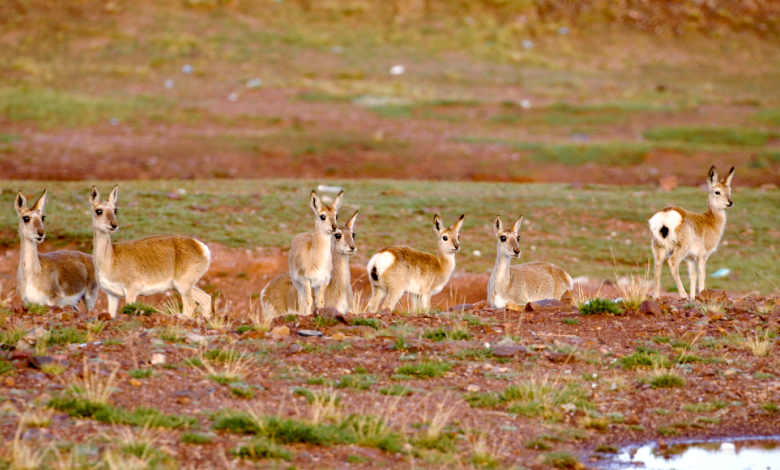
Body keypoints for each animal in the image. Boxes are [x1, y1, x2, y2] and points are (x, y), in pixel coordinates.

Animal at [90, 187, 212, 320]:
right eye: (98, 210)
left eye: (115, 210)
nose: (114, 225)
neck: (110, 258)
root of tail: (200, 246)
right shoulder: (112, 296)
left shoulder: (131, 291)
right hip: (182, 286)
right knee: (206, 298)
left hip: (183, 287)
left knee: (190, 305)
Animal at [648, 163, 736, 300]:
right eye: (717, 192)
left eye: (730, 190)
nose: (730, 202)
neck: (710, 220)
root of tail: (666, 214)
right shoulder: (703, 255)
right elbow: (701, 274)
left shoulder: (690, 258)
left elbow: (692, 275)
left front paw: (694, 297)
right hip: (680, 249)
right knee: (672, 263)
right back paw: (683, 294)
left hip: (659, 249)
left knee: (657, 267)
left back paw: (656, 296)